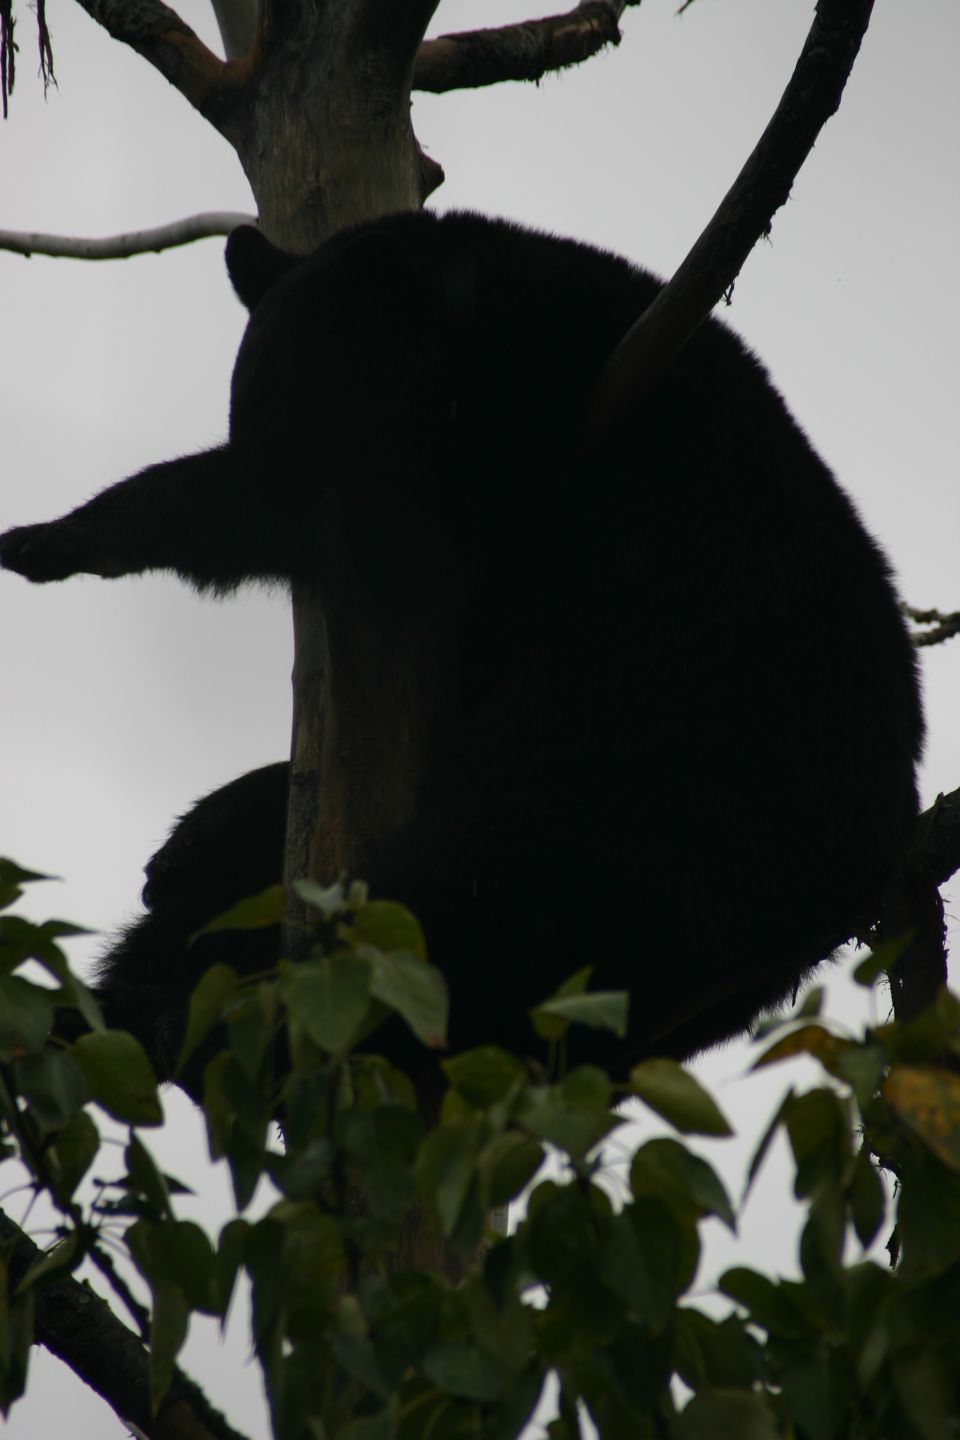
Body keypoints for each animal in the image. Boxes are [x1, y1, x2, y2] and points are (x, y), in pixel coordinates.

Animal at [1, 210, 924, 1074]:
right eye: (244, 396)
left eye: (286, 390)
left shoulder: (500, 429)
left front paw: (66, 533)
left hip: (658, 820)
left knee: (453, 911)